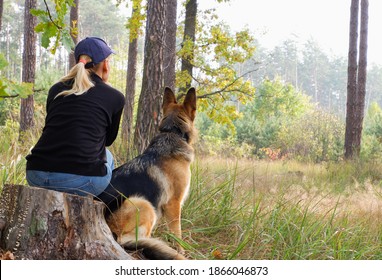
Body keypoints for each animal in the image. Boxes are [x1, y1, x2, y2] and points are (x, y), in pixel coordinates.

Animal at [97, 86, 197, 260]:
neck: (172, 132)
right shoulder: (174, 205)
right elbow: (177, 233)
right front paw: (180, 251)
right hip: (144, 204)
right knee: (132, 239)